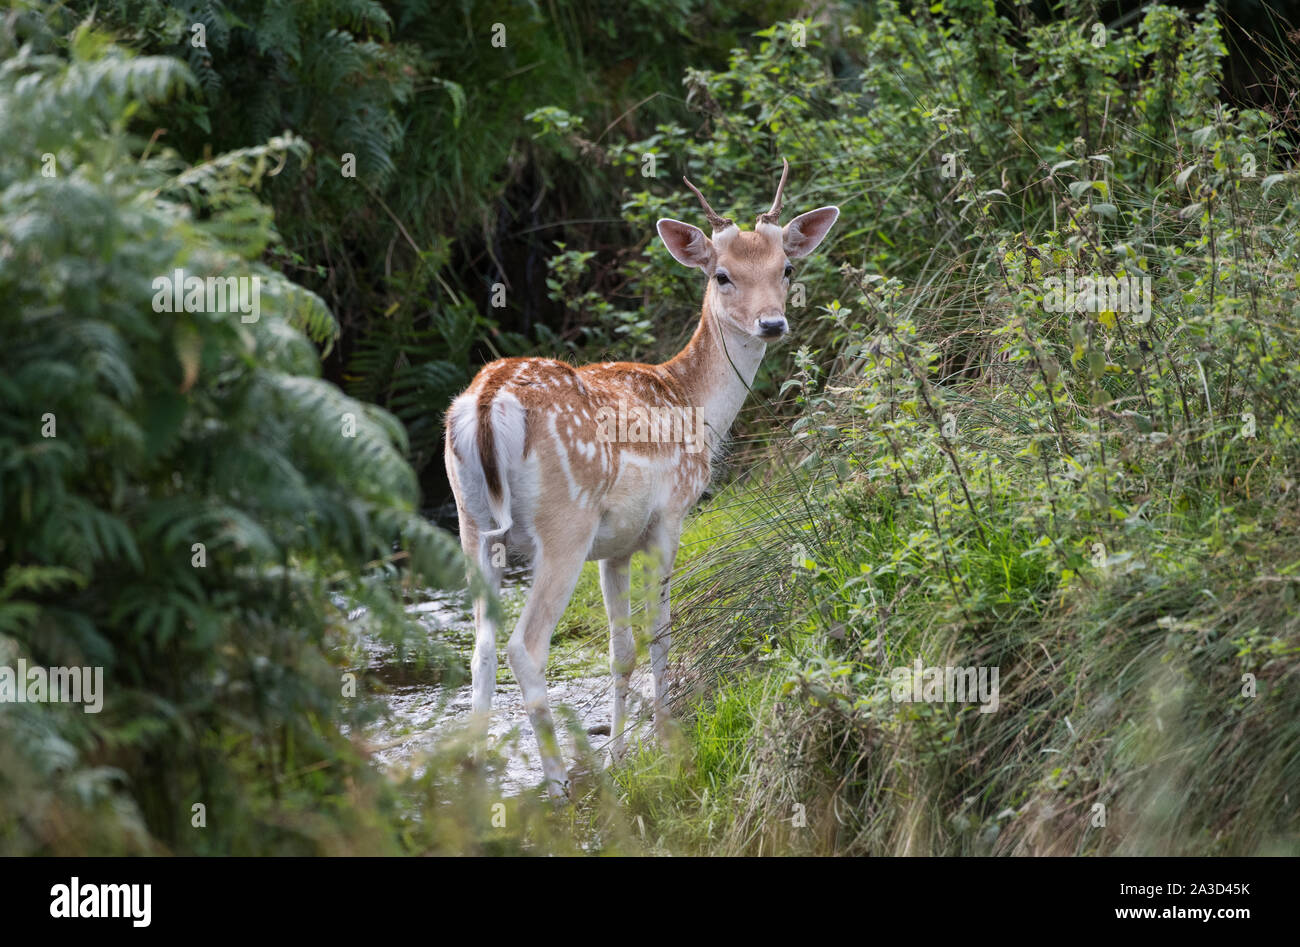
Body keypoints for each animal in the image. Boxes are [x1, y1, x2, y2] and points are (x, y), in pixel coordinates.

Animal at [441, 162, 837, 801]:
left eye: (786, 268)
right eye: (722, 274)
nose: (772, 322)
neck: (695, 406)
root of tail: (484, 403)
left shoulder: (615, 546)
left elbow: (619, 650)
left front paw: (622, 753)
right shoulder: (670, 516)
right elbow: (660, 633)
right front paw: (666, 743)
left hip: (471, 523)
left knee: (479, 647)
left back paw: (477, 775)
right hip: (564, 523)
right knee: (524, 645)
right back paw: (557, 777)